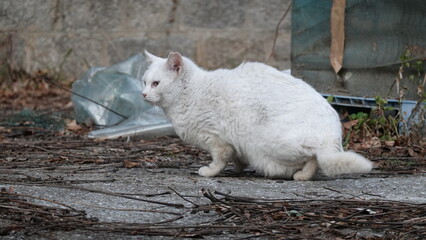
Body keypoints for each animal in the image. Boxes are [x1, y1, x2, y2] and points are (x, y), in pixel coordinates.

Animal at [141, 52, 372, 180]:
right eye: (144, 81)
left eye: (156, 83)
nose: (142, 94)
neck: (192, 93)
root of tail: (333, 135)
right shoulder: (232, 144)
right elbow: (236, 158)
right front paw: (237, 169)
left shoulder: (216, 139)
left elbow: (219, 160)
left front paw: (209, 172)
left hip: (271, 142)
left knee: (315, 158)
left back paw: (301, 175)